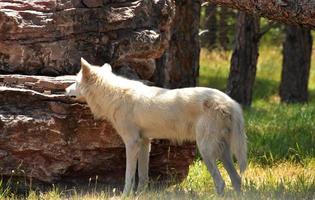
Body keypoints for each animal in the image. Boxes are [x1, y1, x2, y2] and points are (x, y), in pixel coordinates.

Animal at [66, 57, 248, 195]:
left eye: (75, 82)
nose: (65, 89)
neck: (113, 94)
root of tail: (231, 103)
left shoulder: (132, 143)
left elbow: (129, 177)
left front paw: (125, 196)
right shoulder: (145, 142)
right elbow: (143, 176)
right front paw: (140, 195)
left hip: (206, 151)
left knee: (221, 182)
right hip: (223, 153)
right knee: (237, 180)